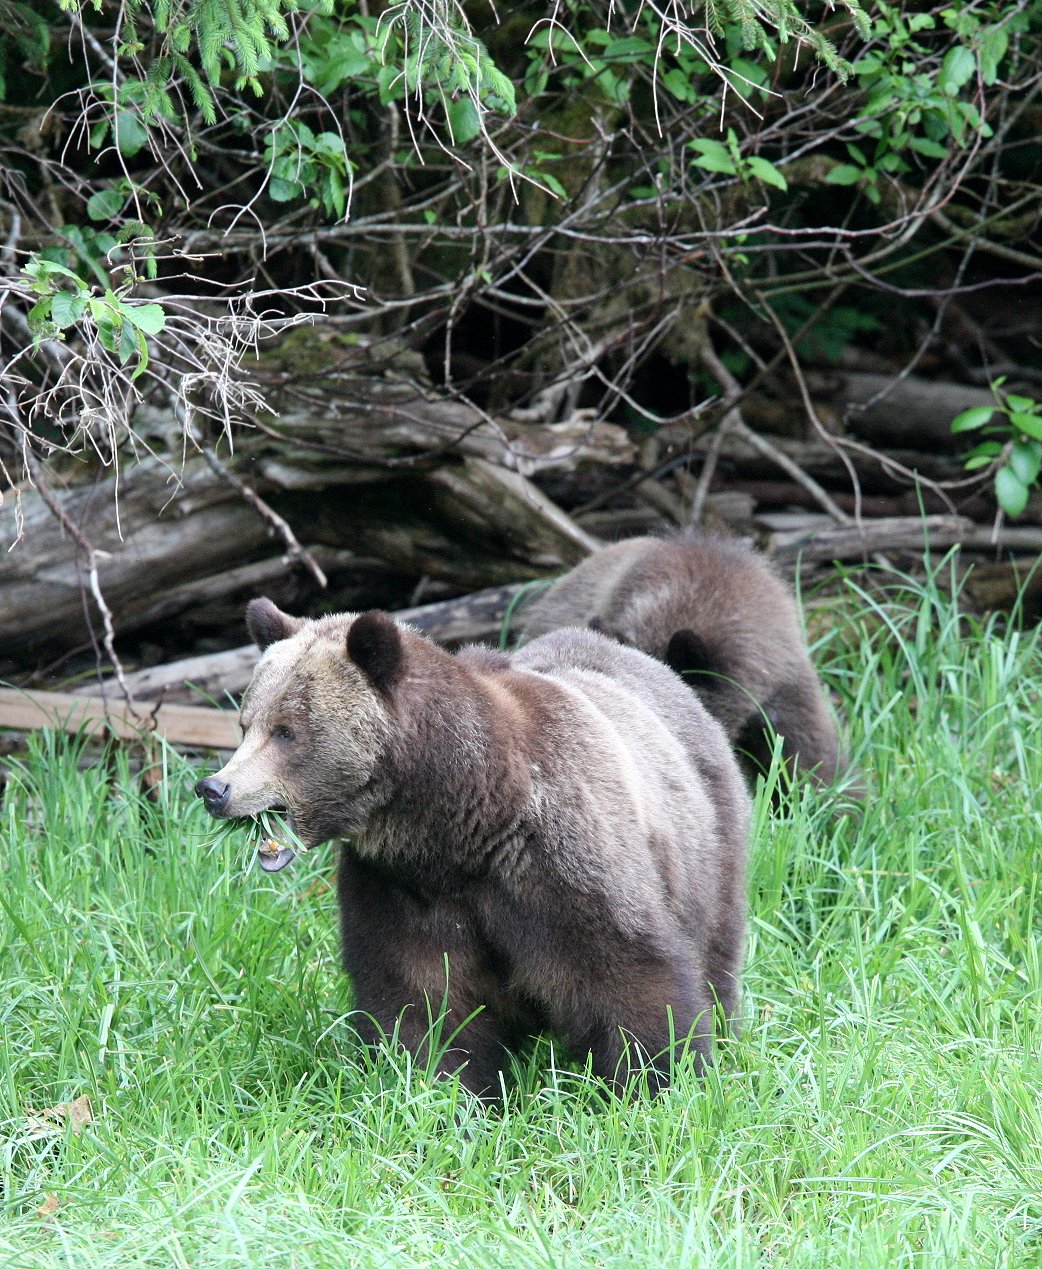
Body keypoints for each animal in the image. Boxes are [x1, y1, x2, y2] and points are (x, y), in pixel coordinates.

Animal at [195, 598, 750, 1099]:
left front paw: (659, 1081)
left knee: (715, 948)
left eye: (286, 731)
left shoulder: (556, 859)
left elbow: (626, 974)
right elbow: (424, 1002)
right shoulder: (400, 887)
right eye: (246, 723)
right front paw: (445, 1092)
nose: (214, 789)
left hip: (706, 844)